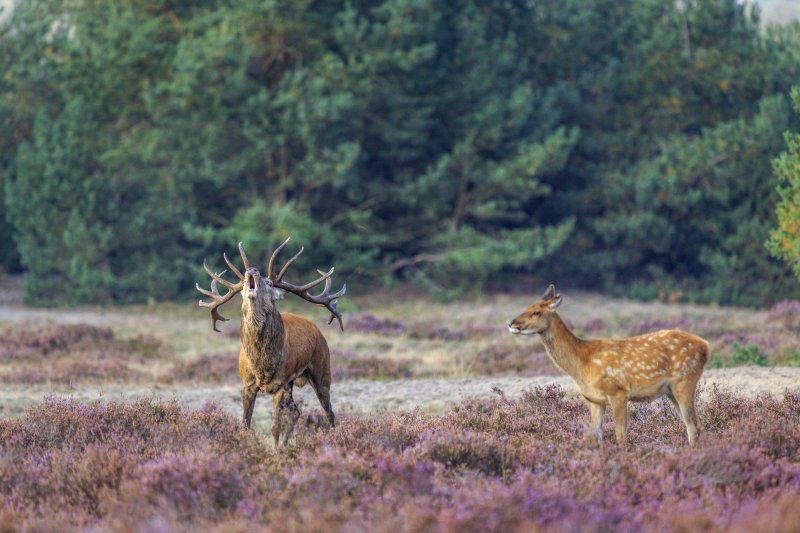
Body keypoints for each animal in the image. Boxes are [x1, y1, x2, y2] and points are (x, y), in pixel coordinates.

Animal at [197, 238, 344, 444]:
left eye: (268, 282)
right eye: (244, 283)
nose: (251, 270)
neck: (262, 365)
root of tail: (316, 329)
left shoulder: (280, 383)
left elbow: (275, 427)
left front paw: (275, 451)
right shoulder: (247, 384)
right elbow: (245, 424)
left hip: (322, 369)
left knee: (329, 412)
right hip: (293, 383)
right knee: (296, 413)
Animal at [510, 284, 708, 442]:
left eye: (536, 312)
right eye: (527, 307)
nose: (511, 324)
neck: (582, 364)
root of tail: (705, 345)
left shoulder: (618, 391)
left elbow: (621, 435)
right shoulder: (594, 399)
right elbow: (597, 434)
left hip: (685, 380)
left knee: (693, 425)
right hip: (670, 390)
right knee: (694, 425)